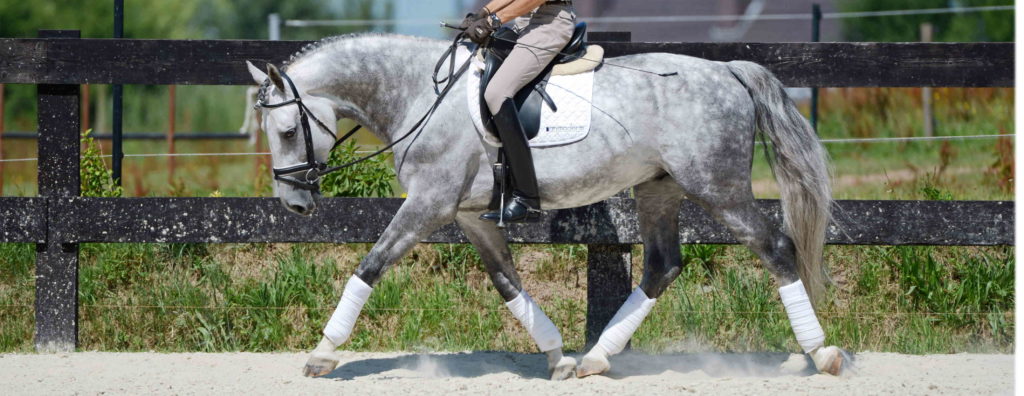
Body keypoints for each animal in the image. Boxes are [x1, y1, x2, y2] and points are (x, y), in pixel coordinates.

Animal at [243, 34, 843, 380]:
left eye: (288, 129)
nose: (294, 204)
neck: (418, 92)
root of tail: (728, 71)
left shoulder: (429, 203)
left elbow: (369, 266)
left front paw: (323, 352)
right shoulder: (469, 216)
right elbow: (507, 283)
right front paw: (558, 356)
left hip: (718, 187)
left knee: (775, 247)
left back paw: (821, 353)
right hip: (659, 189)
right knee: (663, 266)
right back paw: (597, 358)